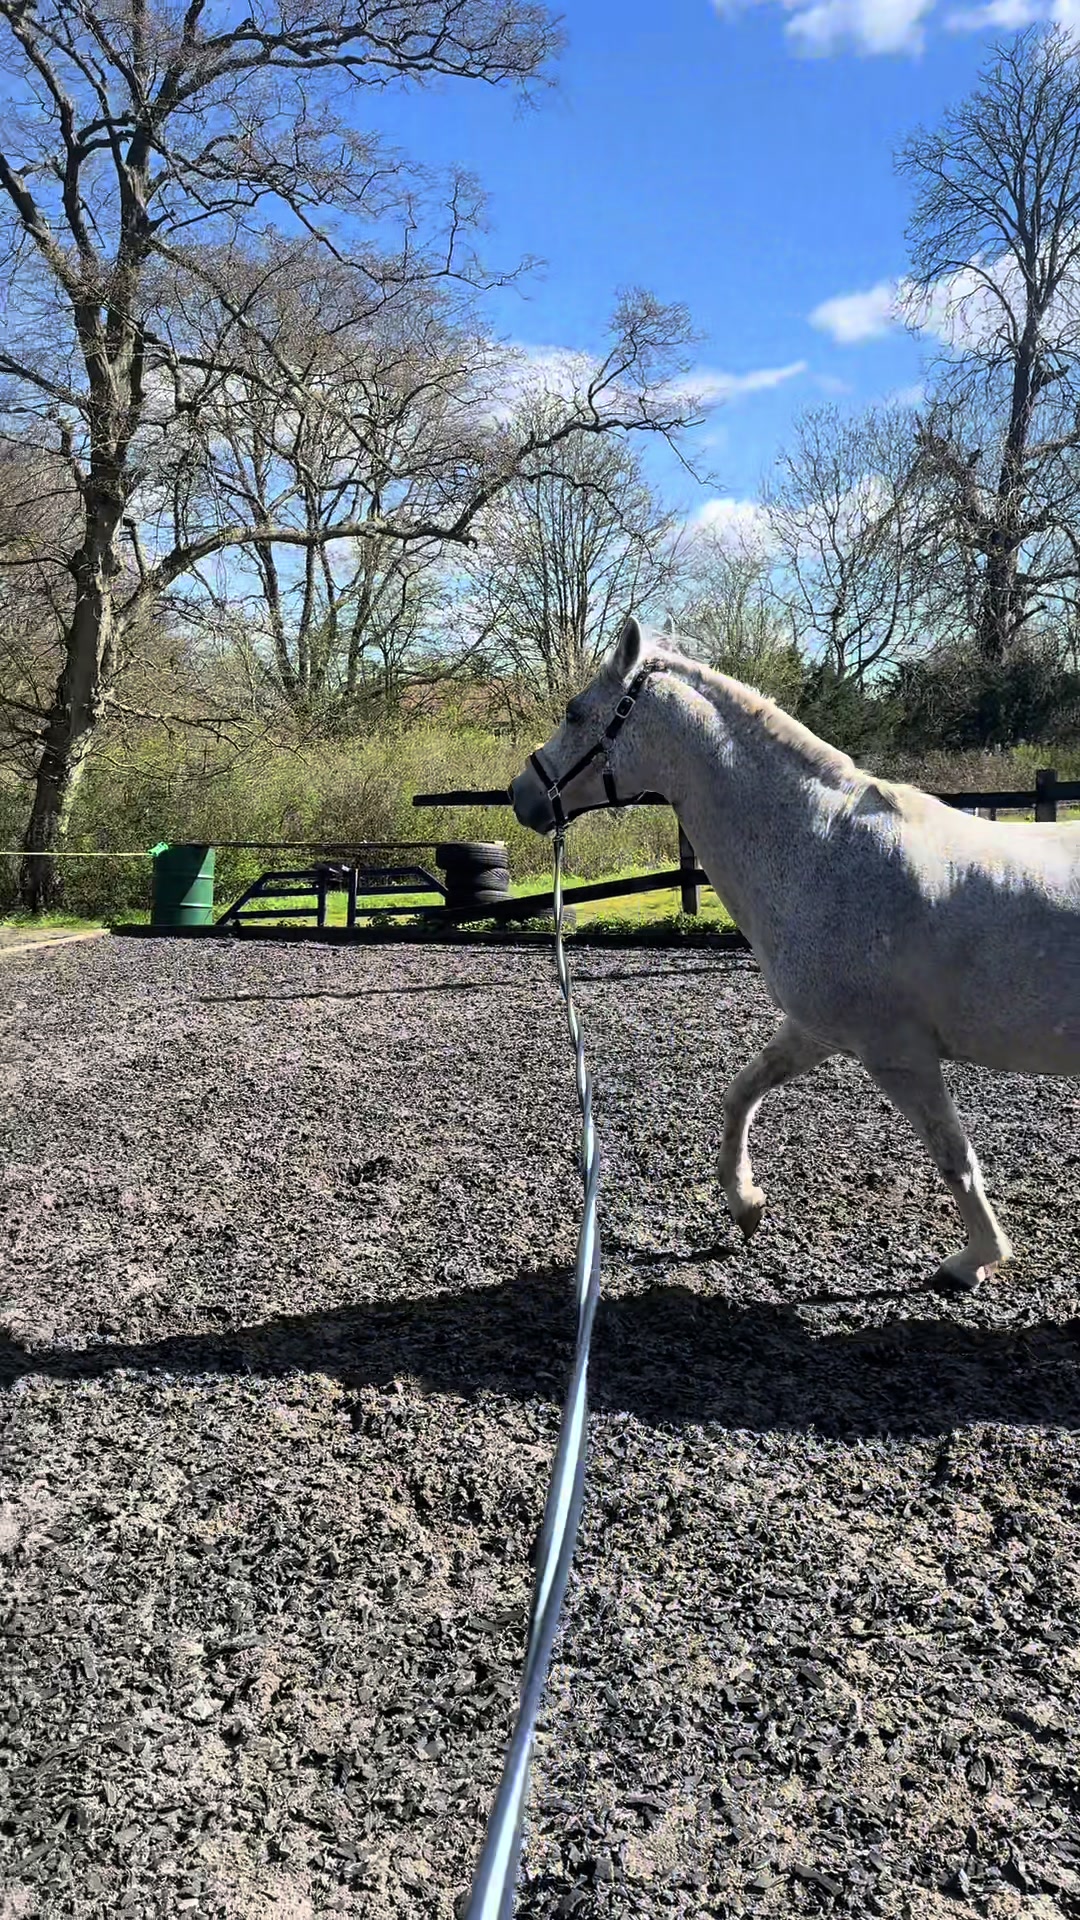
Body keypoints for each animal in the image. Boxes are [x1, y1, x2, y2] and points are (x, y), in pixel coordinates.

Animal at [510, 617, 1080, 1291]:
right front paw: (746, 1204)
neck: (825, 850)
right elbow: (741, 1093)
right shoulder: (815, 1030)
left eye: (575, 713)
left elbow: (952, 1155)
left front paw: (977, 1259)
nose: (520, 794)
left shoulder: (899, 1054)